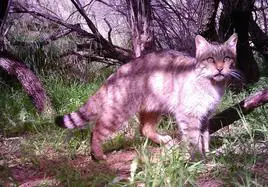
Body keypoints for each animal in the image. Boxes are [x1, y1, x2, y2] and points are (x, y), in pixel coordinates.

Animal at [55, 33, 240, 159]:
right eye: (210, 59)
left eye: (226, 58)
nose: (220, 68)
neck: (211, 84)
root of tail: (116, 74)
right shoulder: (188, 115)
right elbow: (193, 138)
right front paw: (197, 158)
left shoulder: (205, 116)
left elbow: (204, 137)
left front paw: (207, 153)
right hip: (118, 113)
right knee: (97, 129)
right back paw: (98, 155)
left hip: (152, 108)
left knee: (144, 129)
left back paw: (165, 141)